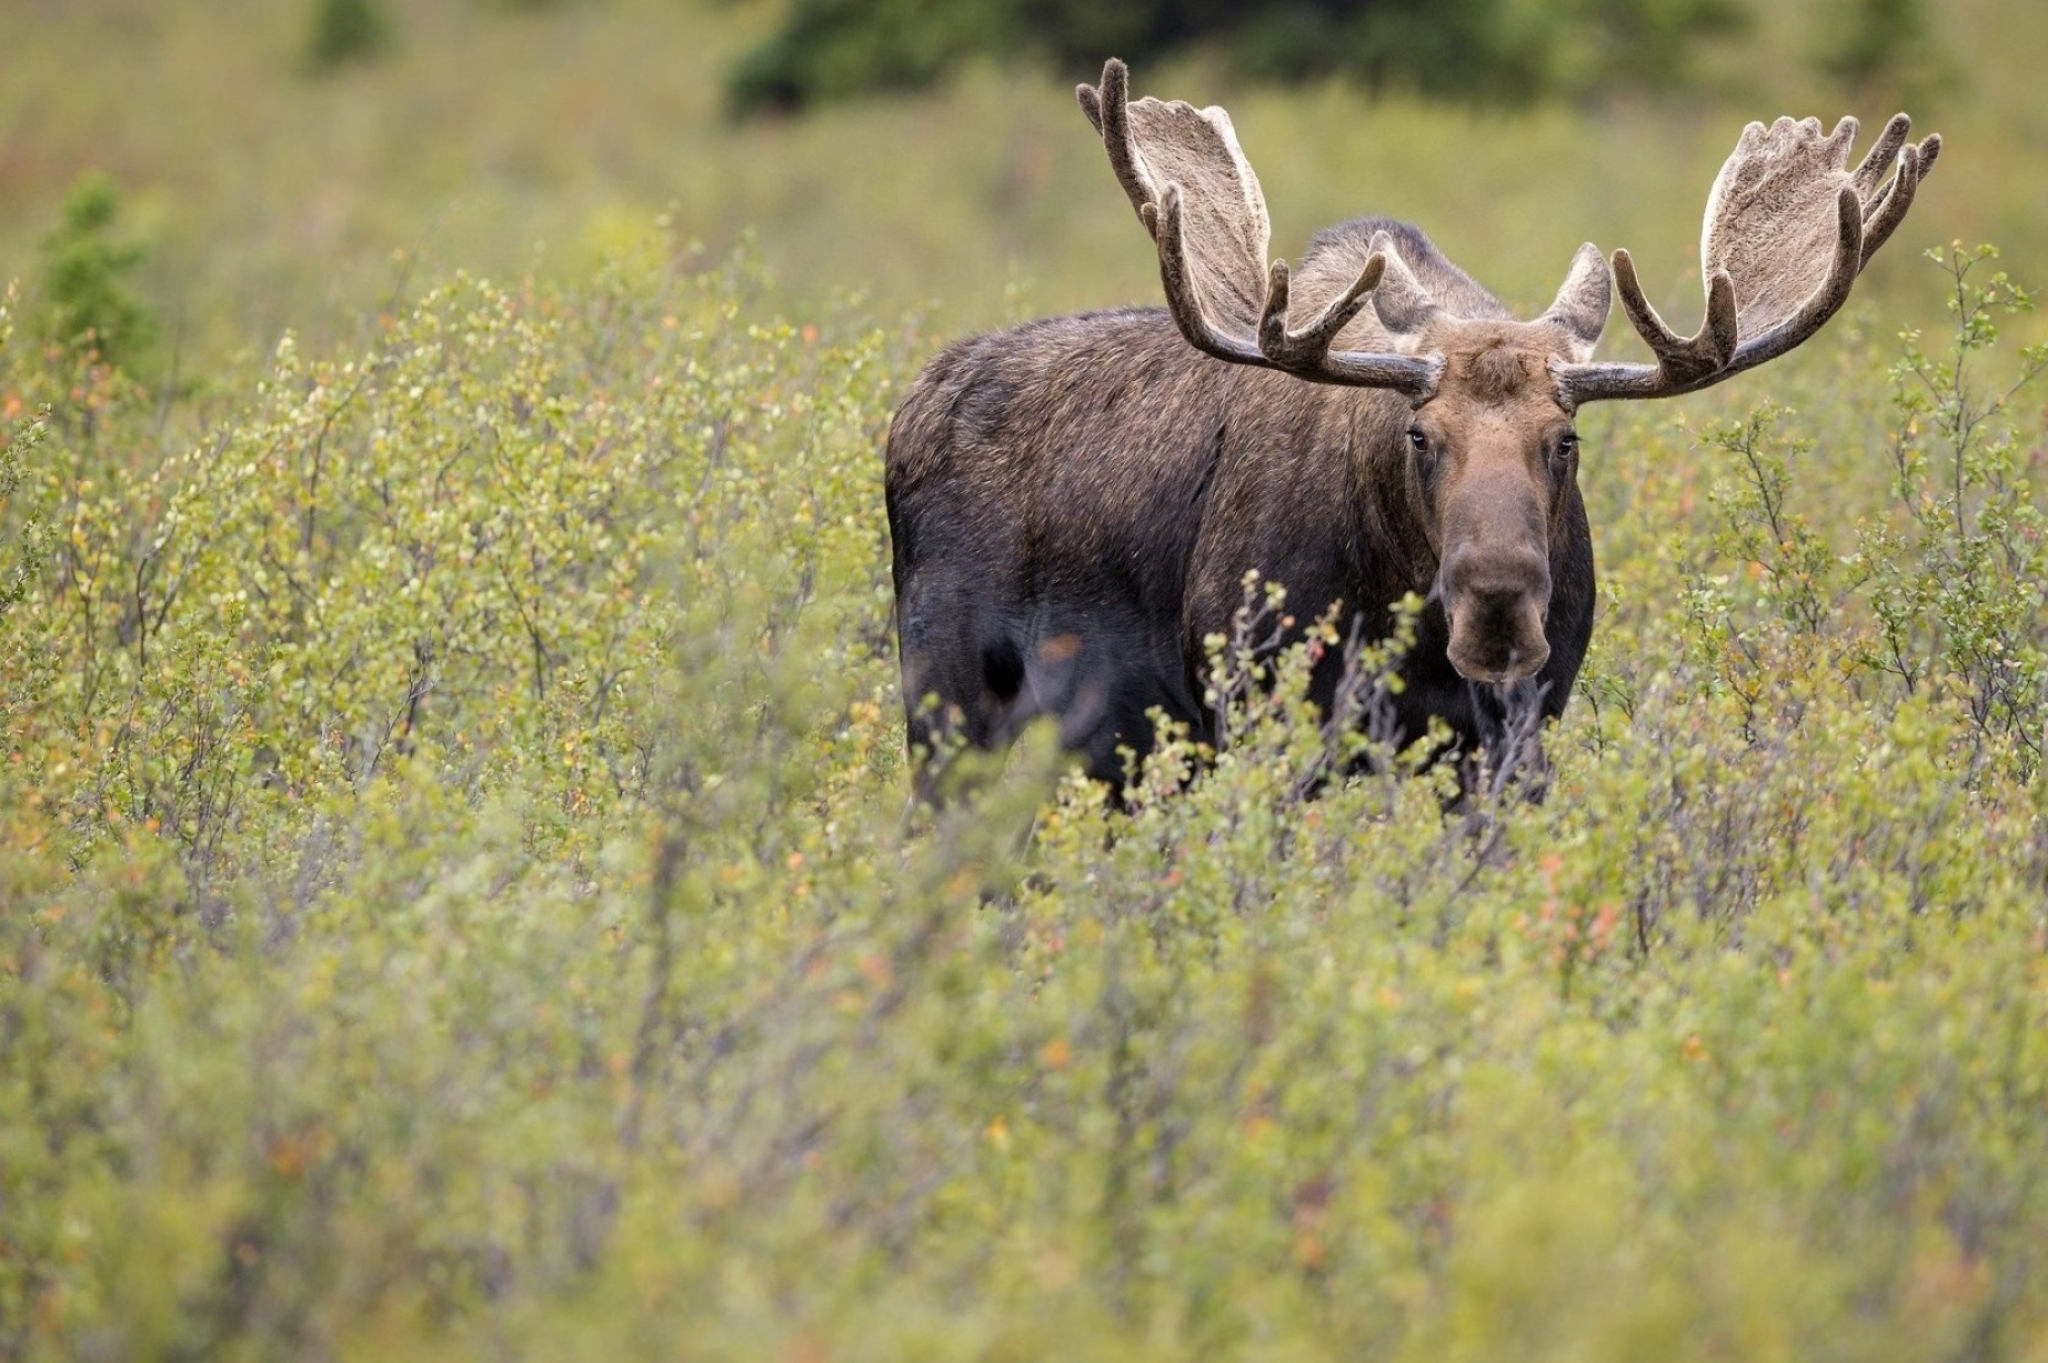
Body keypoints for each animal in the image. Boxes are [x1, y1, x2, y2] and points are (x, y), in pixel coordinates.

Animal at [884, 58, 1933, 789]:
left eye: (1565, 440)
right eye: (1419, 435)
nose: (1498, 602)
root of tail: (909, 407)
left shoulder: (1514, 737)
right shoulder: (1265, 716)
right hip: (946, 705)